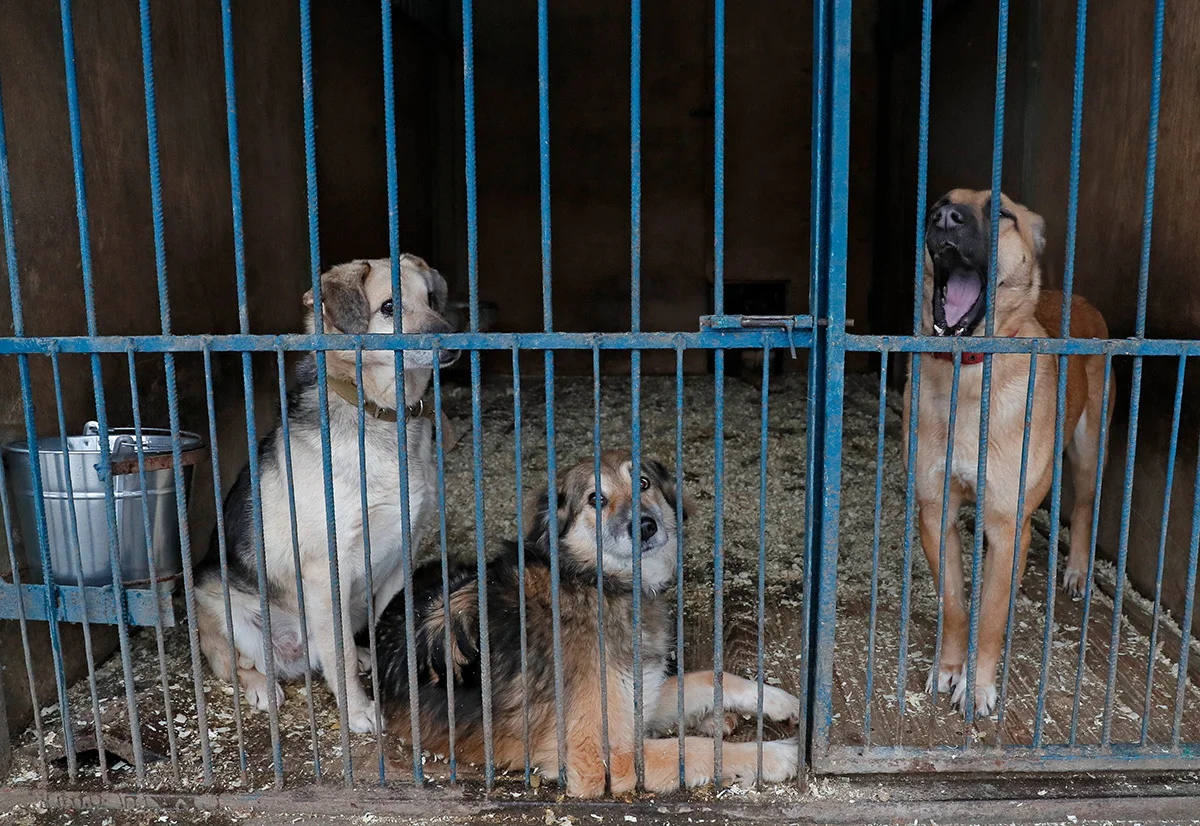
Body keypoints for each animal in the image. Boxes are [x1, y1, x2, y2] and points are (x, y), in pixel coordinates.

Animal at [196, 254, 458, 734]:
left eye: (432, 299)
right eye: (389, 307)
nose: (450, 341)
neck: (381, 415)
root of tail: (297, 653)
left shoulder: (401, 554)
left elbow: (374, 625)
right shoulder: (325, 571)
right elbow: (337, 656)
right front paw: (358, 710)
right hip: (219, 602)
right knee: (242, 664)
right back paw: (262, 688)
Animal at [376, 451, 806, 792]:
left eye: (644, 483)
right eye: (595, 499)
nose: (645, 525)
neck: (595, 584)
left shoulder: (639, 690)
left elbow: (711, 677)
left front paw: (779, 700)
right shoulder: (601, 756)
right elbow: (695, 749)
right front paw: (776, 756)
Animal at [902, 188, 1108, 715]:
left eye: (1003, 213)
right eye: (939, 201)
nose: (943, 217)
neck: (970, 373)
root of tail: (1077, 297)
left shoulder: (1008, 524)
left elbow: (992, 613)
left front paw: (977, 686)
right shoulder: (936, 511)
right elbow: (955, 604)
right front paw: (950, 668)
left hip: (1088, 450)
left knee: (1083, 506)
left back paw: (1077, 571)